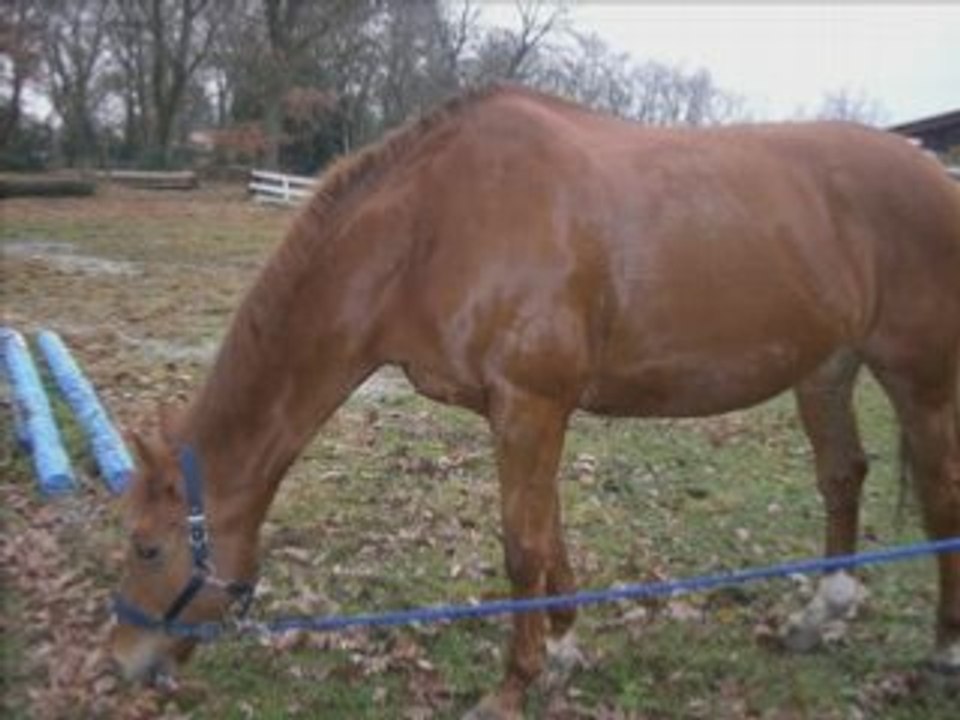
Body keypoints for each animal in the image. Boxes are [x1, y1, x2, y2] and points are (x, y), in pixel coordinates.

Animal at [109, 85, 960, 719]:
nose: (127, 664)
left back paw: (945, 648)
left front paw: (513, 687)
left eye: (147, 547)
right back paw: (824, 612)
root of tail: (935, 177)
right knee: (843, 475)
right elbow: (549, 535)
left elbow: (521, 546)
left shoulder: (528, 407)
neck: (430, 227)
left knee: (940, 498)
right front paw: (564, 648)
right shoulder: (527, 413)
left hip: (921, 378)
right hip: (828, 370)